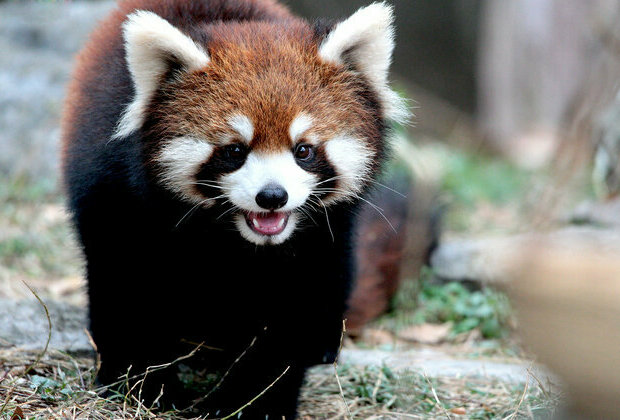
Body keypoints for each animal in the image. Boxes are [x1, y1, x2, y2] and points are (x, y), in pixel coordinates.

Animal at [61, 0, 406, 416]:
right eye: (234, 151)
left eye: (303, 150)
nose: (272, 196)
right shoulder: (115, 195)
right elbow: (125, 288)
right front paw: (145, 384)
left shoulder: (320, 240)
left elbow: (292, 315)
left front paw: (258, 400)